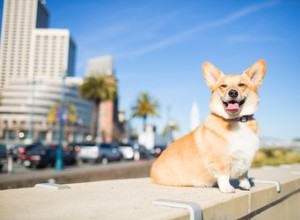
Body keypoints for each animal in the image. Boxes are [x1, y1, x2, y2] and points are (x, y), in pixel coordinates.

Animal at [151, 59, 266, 192]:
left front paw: (245, 184)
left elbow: (244, 173)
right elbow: (224, 174)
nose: (232, 92)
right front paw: (227, 188)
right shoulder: (220, 160)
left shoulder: (246, 157)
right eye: (223, 86)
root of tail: (152, 170)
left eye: (242, 85)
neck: (236, 120)